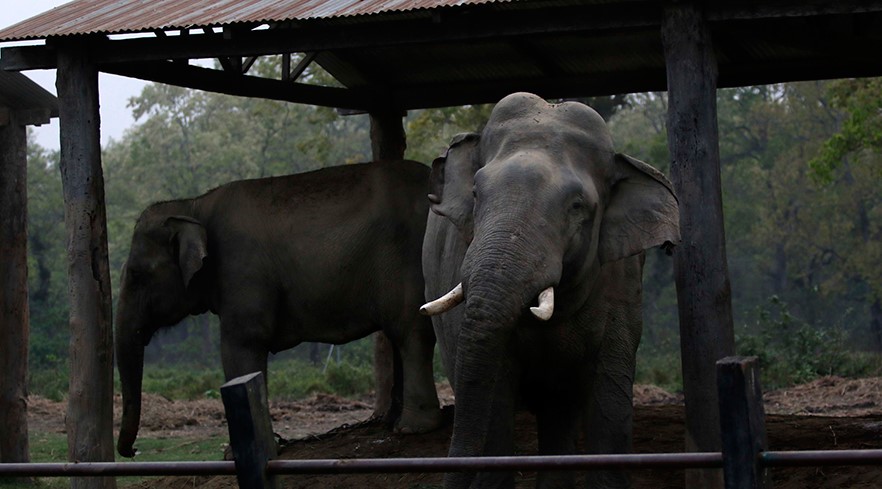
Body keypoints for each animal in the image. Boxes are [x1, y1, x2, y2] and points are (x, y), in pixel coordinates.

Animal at [116, 160, 444, 458]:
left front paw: (236, 454)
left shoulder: (242, 268)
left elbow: (242, 344)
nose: (132, 451)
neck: (194, 206)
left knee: (411, 332)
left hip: (408, 258)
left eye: (136, 275)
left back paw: (412, 428)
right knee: (399, 334)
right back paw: (392, 423)